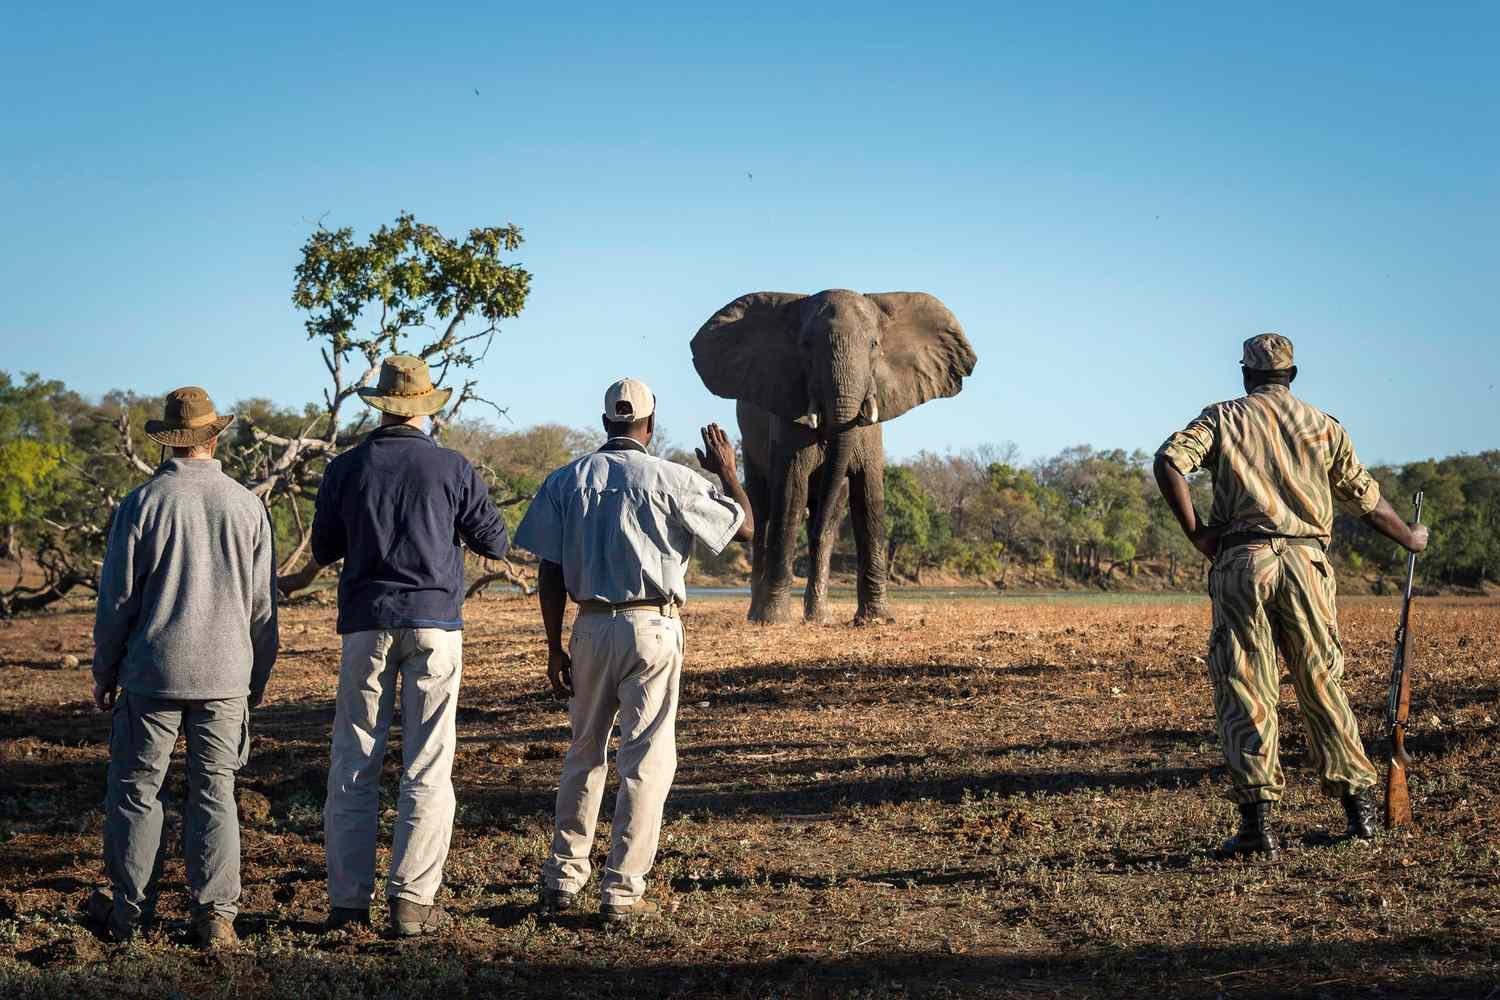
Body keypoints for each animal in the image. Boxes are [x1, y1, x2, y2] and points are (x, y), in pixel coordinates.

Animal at [691, 289, 977, 624]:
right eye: (805, 346)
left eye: (874, 345)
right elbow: (791, 492)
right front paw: (776, 620)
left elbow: (868, 496)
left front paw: (876, 619)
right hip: (748, 443)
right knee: (763, 511)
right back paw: (758, 614)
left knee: (828, 517)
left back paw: (818, 616)